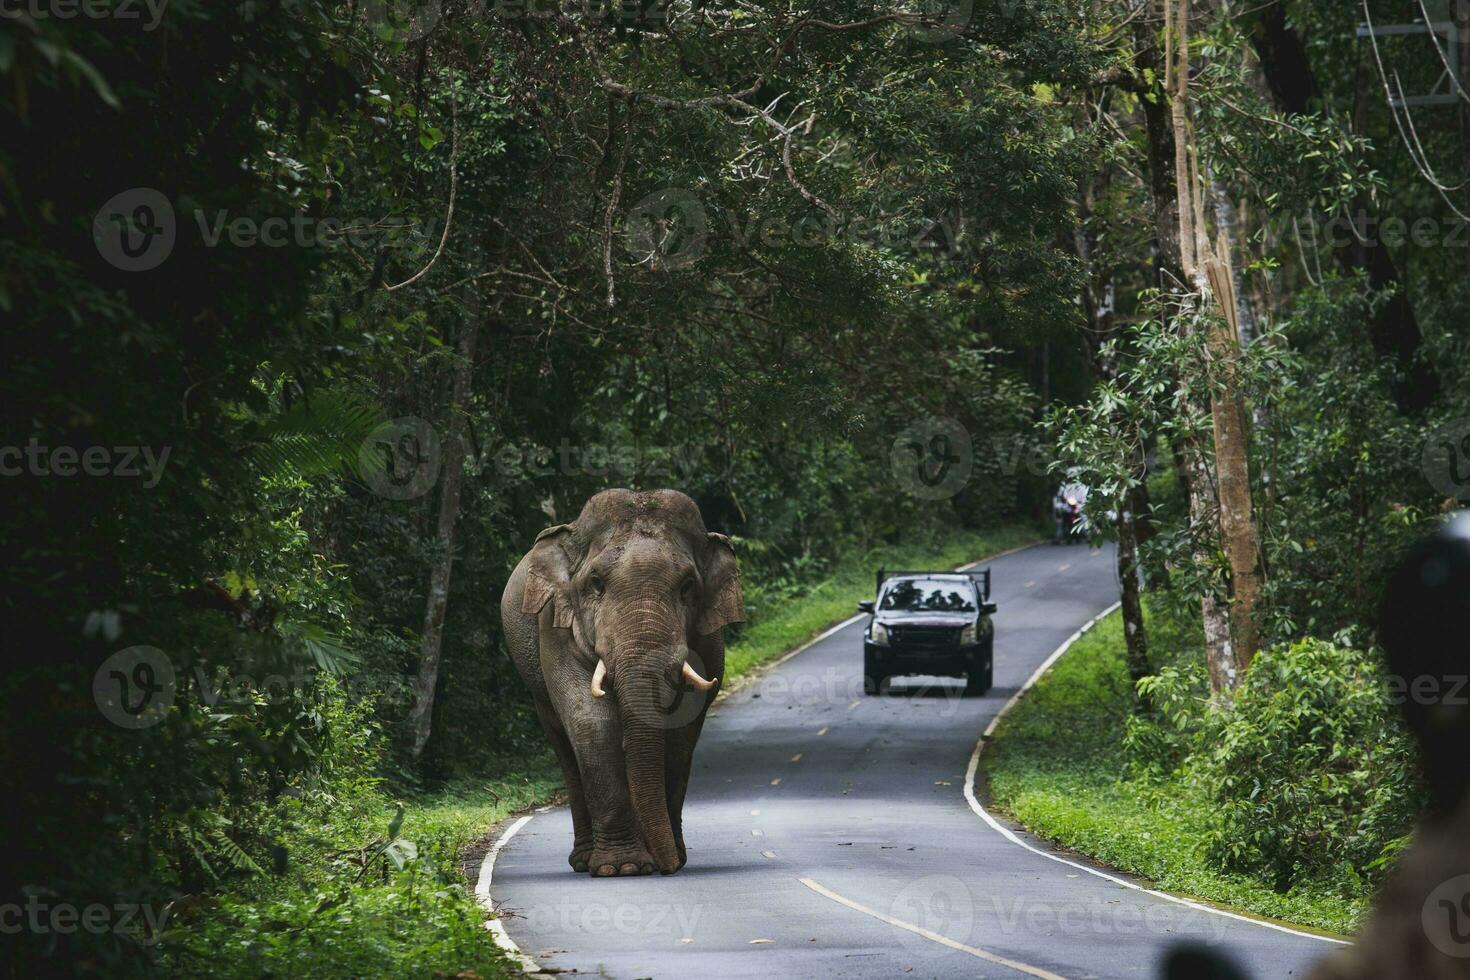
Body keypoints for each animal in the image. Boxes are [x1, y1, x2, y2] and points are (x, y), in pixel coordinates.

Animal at [502, 487, 746, 875]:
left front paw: (660, 859)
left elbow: (681, 730)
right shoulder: (554, 626)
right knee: (566, 749)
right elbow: (593, 722)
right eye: (596, 584)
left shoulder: (709, 638)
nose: (668, 866)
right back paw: (584, 861)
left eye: (688, 587)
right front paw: (623, 867)